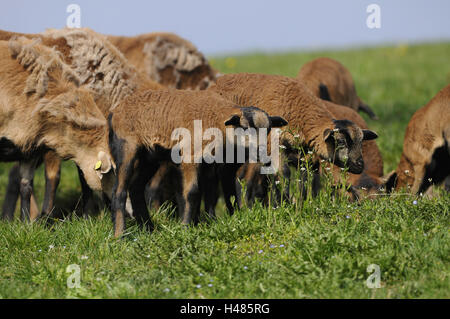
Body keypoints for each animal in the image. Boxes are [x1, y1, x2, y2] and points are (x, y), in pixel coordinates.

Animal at [107, 90, 286, 238]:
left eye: (268, 130)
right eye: (244, 128)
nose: (263, 155)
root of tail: (114, 112)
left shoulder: (210, 163)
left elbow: (210, 194)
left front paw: (210, 223)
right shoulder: (190, 156)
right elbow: (192, 192)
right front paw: (185, 227)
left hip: (149, 157)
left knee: (136, 189)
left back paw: (149, 229)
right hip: (126, 148)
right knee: (119, 191)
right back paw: (120, 236)